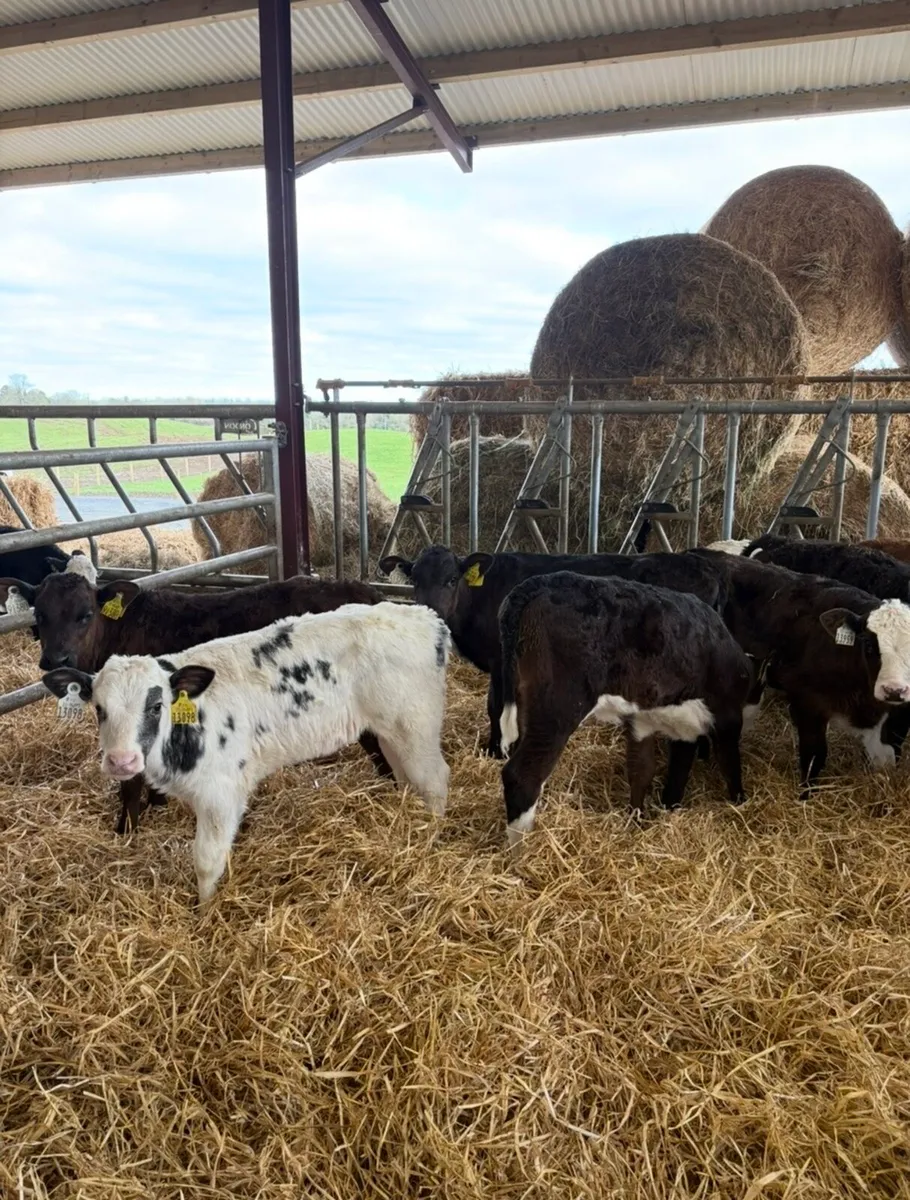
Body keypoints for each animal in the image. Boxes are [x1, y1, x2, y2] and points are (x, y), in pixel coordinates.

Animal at [0, 569, 392, 833]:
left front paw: (126, 830)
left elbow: (130, 784)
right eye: (39, 615)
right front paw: (157, 803)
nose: (56, 659)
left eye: (85, 614)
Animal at [43, 602, 451, 904]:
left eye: (156, 706)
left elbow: (207, 861)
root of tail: (425, 618)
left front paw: (204, 913)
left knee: (436, 781)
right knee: (406, 778)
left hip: (416, 727)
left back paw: (431, 837)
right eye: (99, 708)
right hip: (391, 734)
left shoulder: (220, 794)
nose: (121, 761)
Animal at [379, 545, 729, 758]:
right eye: (414, 579)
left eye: (452, 579)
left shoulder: (502, 661)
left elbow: (496, 706)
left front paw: (497, 750)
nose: (429, 613)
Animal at [496, 572, 752, 845]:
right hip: (558, 707)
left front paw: (639, 821)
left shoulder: (644, 721)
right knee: (524, 776)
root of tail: (541, 582)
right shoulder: (728, 716)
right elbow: (730, 765)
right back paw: (523, 849)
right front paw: (740, 805)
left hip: (527, 706)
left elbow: (644, 770)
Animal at [693, 548, 910, 790]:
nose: (893, 690)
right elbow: (815, 755)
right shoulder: (808, 702)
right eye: (870, 645)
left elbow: (890, 752)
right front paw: (806, 793)